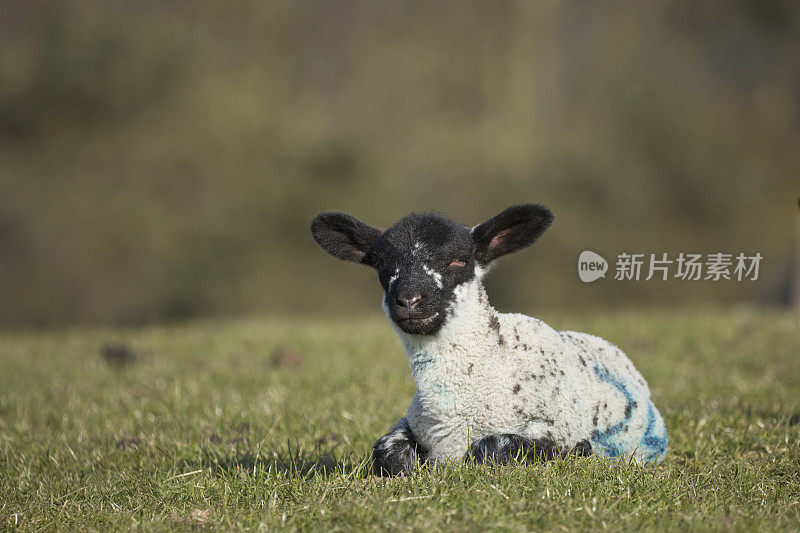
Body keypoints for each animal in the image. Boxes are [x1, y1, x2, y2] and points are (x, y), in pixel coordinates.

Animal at [310, 203, 664, 474]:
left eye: (459, 259)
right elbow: (387, 451)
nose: (409, 300)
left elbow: (490, 449)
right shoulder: (410, 425)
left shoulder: (553, 429)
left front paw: (580, 450)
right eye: (382, 263)